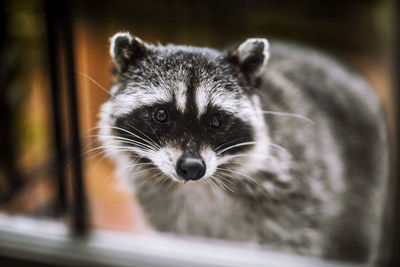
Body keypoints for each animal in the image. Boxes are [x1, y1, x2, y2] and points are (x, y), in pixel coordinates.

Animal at [97, 33, 388, 264]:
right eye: (161, 114)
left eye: (216, 120)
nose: (192, 168)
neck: (200, 187)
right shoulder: (165, 212)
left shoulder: (299, 190)